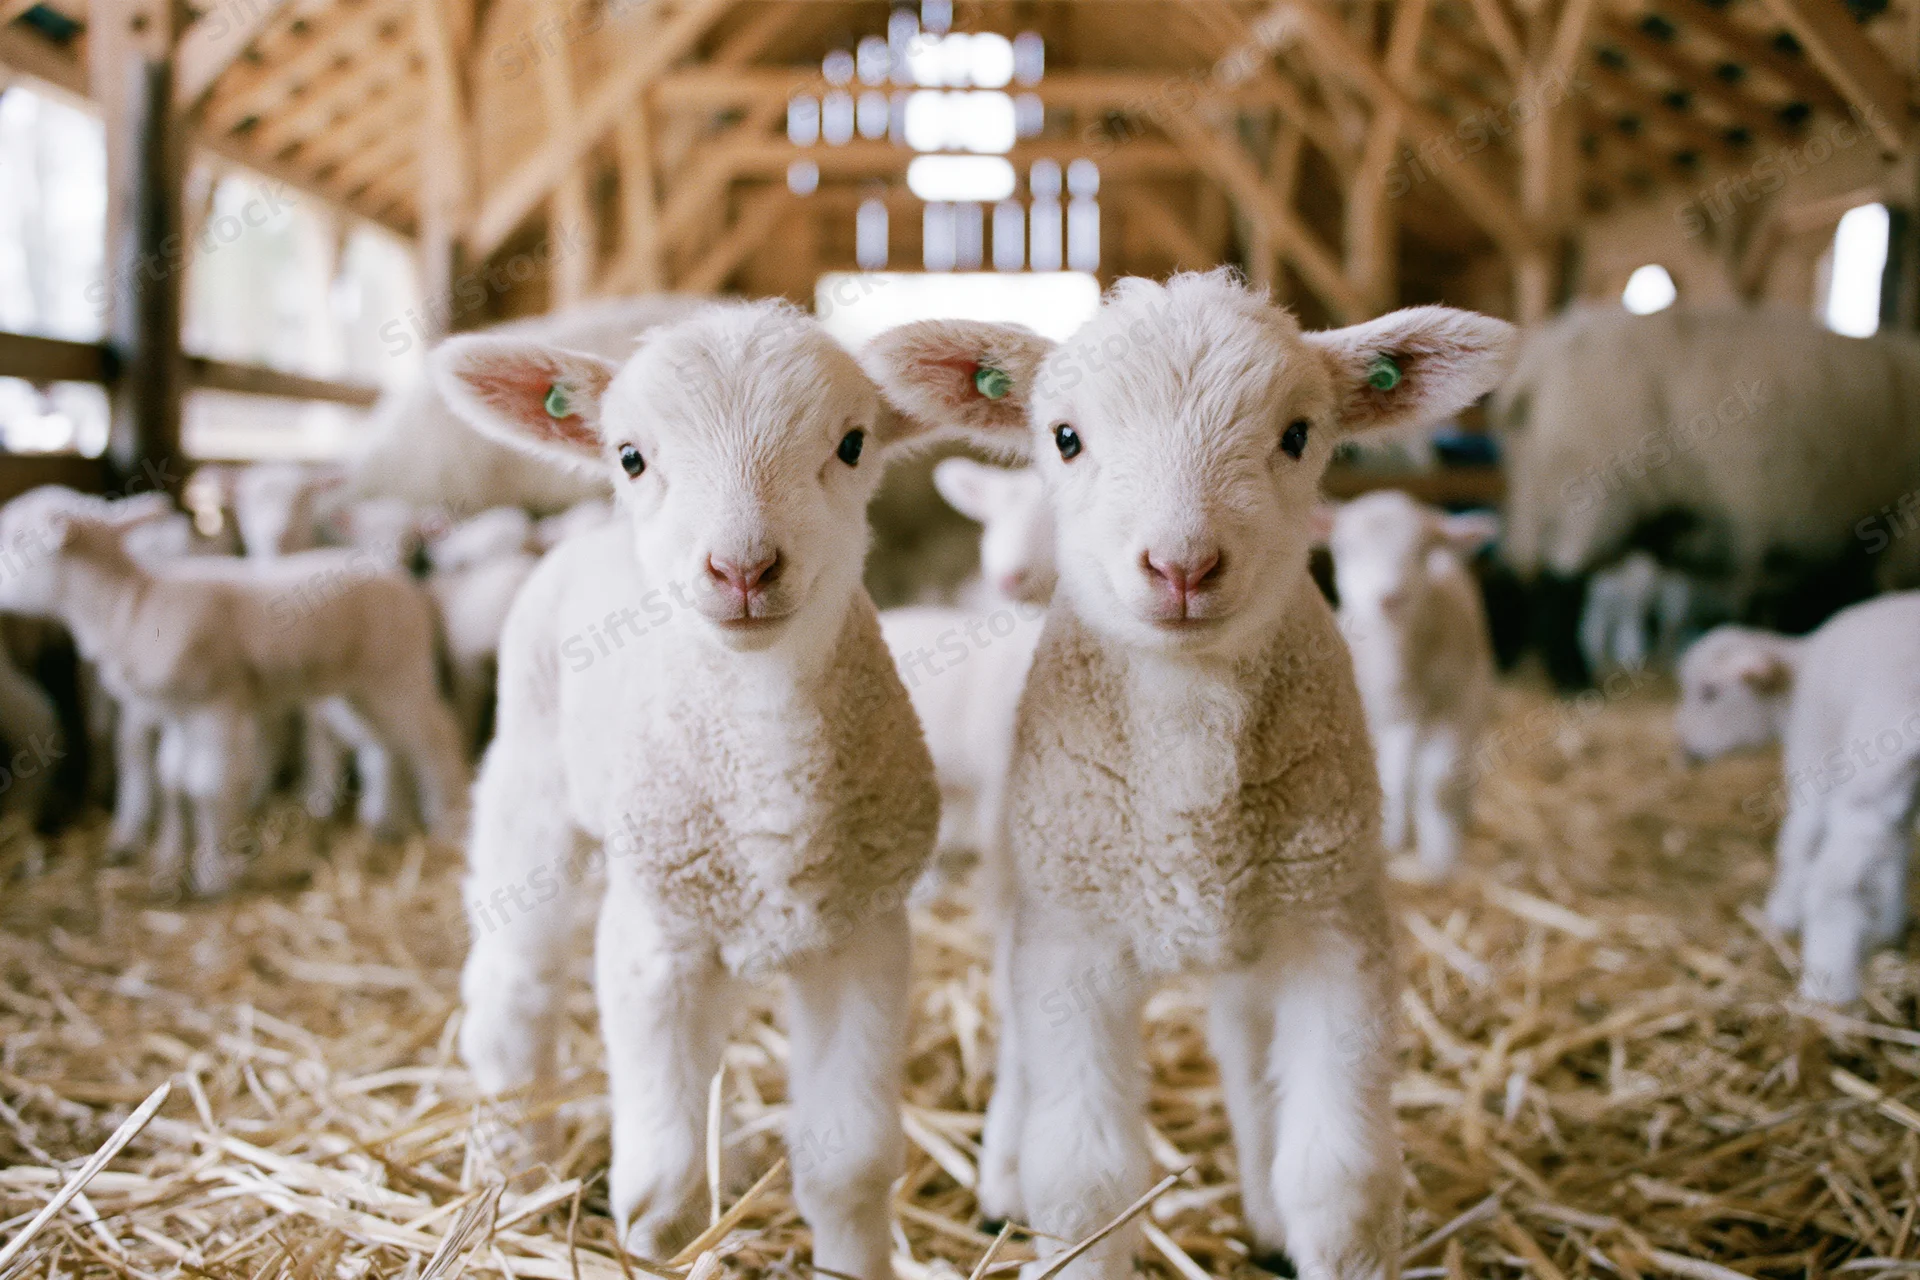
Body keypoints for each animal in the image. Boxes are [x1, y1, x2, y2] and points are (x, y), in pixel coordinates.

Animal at [0, 486, 468, 896]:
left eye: (19, 539)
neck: (129, 607)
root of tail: (399, 578)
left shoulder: (216, 703)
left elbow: (207, 786)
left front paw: (215, 877)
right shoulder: (179, 712)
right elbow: (173, 780)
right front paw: (168, 863)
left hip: (399, 673)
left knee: (436, 737)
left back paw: (447, 826)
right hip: (358, 688)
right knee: (387, 744)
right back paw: (388, 825)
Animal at [433, 300, 940, 1279]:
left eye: (852, 443)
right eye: (632, 456)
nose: (743, 569)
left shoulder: (866, 933)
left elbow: (852, 1163)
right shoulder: (652, 940)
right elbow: (661, 1186)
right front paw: (655, 1243)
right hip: (529, 786)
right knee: (513, 996)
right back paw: (509, 1170)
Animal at [1321, 491, 1498, 882]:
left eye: (1421, 553)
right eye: (1346, 549)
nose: (1389, 597)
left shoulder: (1451, 704)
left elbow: (1436, 782)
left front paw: (1438, 860)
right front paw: (1388, 843)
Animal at [1675, 593, 1920, 1005]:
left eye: (1709, 691)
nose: (1683, 751)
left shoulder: (1815, 756)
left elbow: (1798, 841)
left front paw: (1783, 912)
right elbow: (1894, 855)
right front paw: (1887, 927)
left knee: (1832, 880)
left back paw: (1826, 987)